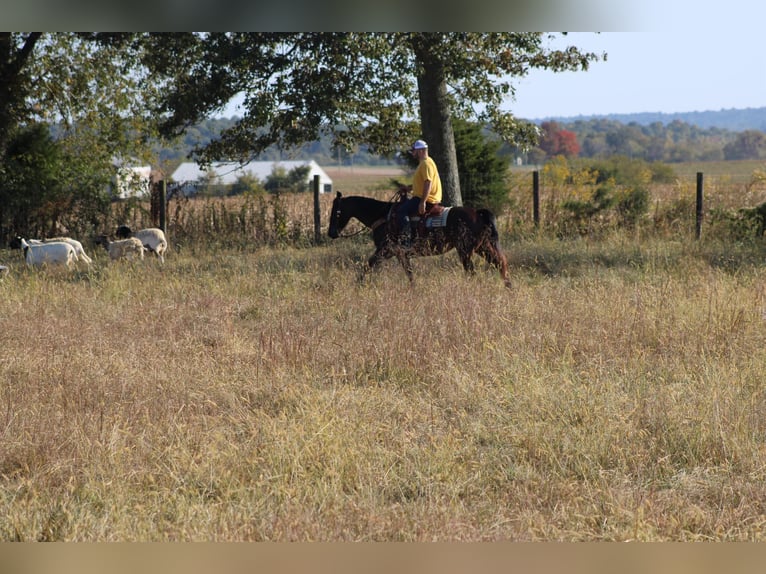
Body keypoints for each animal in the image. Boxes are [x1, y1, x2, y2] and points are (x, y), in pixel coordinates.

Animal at [328, 194, 512, 290]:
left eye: (336, 212)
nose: (331, 233)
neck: (383, 216)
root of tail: (478, 213)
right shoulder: (397, 254)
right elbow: (409, 273)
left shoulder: (386, 250)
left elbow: (368, 265)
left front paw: (357, 285)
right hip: (483, 247)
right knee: (499, 263)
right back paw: (508, 287)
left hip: (465, 250)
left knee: (472, 271)